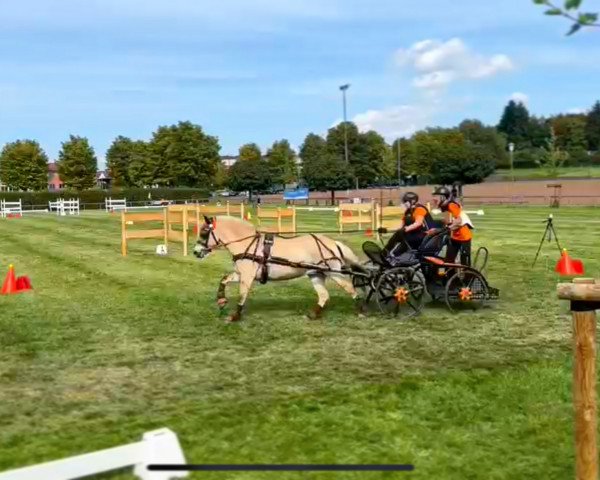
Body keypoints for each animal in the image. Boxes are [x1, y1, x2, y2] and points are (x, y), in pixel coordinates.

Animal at [195, 215, 364, 322]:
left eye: (204, 231)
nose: (196, 252)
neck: (247, 244)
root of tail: (333, 243)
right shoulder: (241, 274)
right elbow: (224, 279)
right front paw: (221, 300)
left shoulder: (248, 276)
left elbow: (242, 295)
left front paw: (235, 316)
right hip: (316, 274)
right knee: (323, 295)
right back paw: (312, 315)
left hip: (334, 273)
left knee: (350, 289)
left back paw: (361, 311)